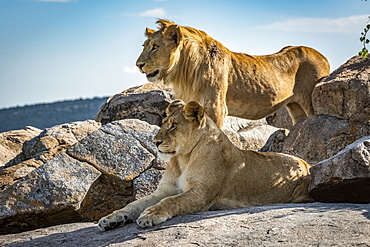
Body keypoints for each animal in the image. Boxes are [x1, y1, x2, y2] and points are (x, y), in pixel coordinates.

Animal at [97, 99, 312, 231]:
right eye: (164, 122)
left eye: (174, 125)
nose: (155, 142)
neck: (182, 159)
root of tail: (305, 163)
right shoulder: (163, 191)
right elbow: (133, 205)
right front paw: (110, 219)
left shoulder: (201, 194)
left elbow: (171, 201)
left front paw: (151, 214)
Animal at [136, 19, 330, 127]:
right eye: (144, 46)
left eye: (155, 47)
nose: (138, 65)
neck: (184, 70)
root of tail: (323, 56)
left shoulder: (216, 107)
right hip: (296, 107)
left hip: (310, 102)